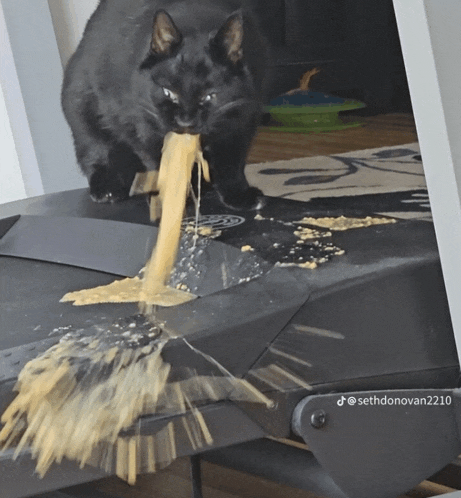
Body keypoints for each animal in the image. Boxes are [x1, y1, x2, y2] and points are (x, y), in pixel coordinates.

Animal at [63, 0, 268, 209]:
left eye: (209, 96)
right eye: (168, 92)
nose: (185, 121)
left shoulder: (242, 120)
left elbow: (231, 165)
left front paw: (239, 195)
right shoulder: (143, 128)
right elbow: (161, 164)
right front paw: (172, 196)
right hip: (84, 115)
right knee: (97, 154)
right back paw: (108, 188)